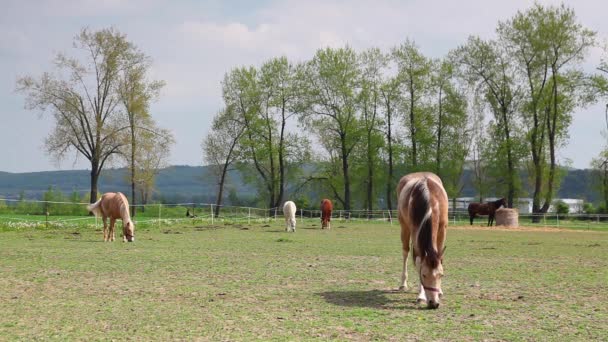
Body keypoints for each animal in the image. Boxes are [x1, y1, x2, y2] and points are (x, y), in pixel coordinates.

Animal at [396, 172, 448, 308]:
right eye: (423, 275)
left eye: (441, 275)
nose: (434, 303)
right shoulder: (415, 232)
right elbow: (419, 261)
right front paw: (421, 296)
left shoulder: (442, 229)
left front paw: (440, 291)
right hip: (404, 227)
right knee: (405, 252)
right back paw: (403, 284)